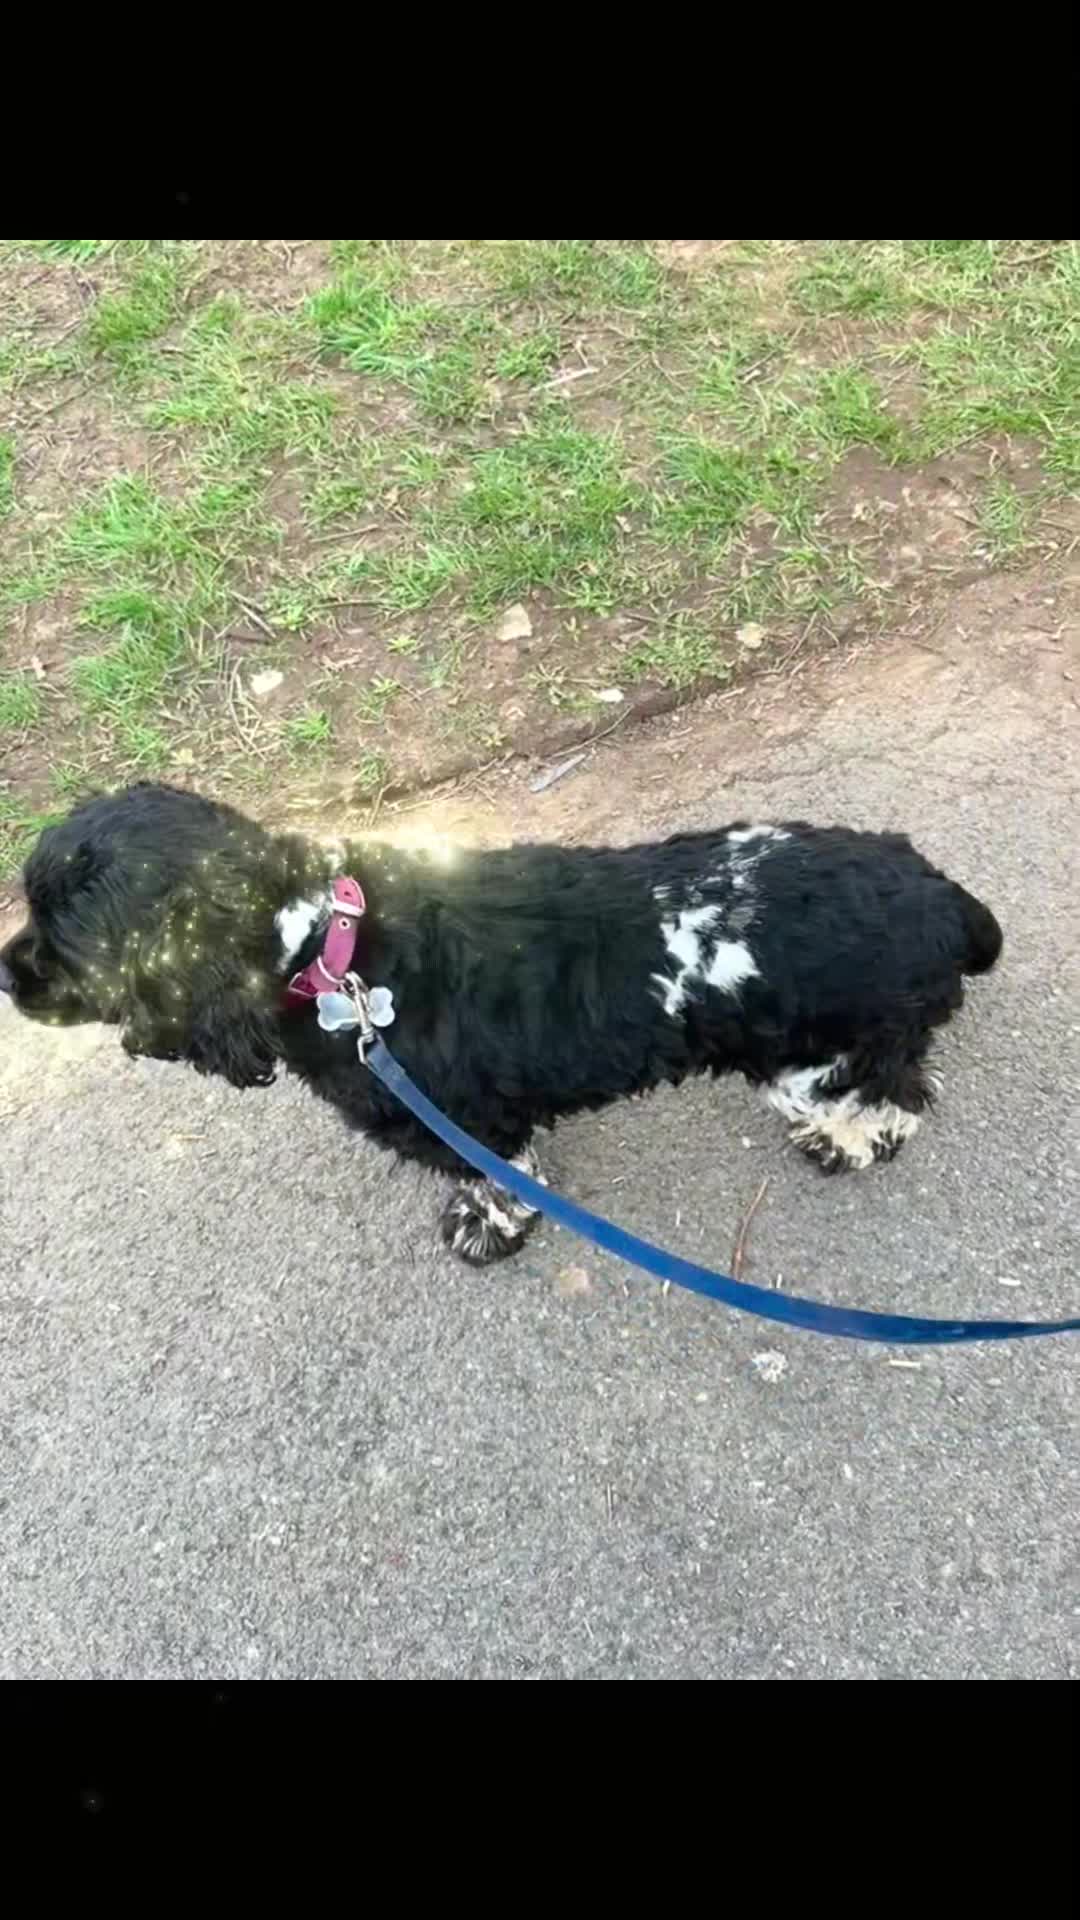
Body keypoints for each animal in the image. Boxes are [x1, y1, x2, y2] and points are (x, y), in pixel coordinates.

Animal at [0, 782, 1002, 1266]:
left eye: (61, 940)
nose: (6, 977)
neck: (320, 946)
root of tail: (936, 892)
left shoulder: (461, 1124)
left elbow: (493, 1183)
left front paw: (487, 1230)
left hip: (819, 1058)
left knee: (899, 1095)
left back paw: (846, 1143)